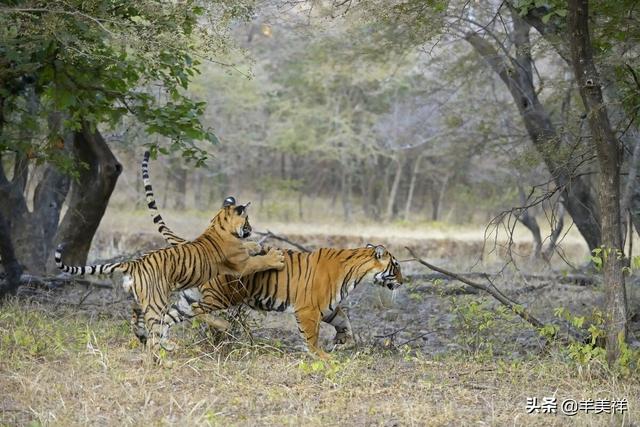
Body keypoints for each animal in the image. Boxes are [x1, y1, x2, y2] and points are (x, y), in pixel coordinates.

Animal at [55, 160, 284, 352]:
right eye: (247, 221)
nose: (251, 230)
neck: (218, 224)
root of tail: (133, 263)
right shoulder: (241, 264)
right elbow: (258, 261)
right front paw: (275, 258)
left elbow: (249, 247)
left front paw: (256, 244)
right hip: (156, 300)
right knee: (164, 322)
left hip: (141, 298)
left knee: (139, 317)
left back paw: (149, 338)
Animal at [140, 152, 402, 360]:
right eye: (396, 266)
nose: (402, 281)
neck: (356, 273)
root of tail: (197, 244)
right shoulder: (308, 309)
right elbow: (311, 336)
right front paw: (322, 355)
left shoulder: (329, 308)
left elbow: (345, 321)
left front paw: (343, 341)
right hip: (219, 296)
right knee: (197, 312)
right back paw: (219, 326)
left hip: (189, 296)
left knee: (166, 318)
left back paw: (163, 347)